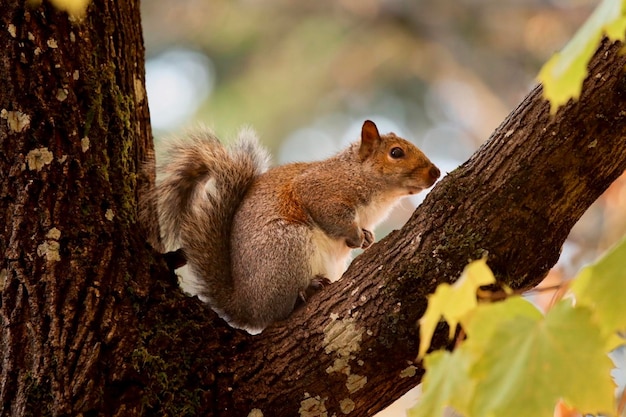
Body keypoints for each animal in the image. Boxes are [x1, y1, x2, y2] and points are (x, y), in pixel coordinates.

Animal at [148, 119, 436, 332]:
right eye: (396, 153)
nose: (434, 173)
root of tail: (246, 307)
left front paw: (367, 237)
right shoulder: (320, 191)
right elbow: (332, 217)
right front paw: (355, 236)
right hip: (288, 245)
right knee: (278, 311)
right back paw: (306, 291)